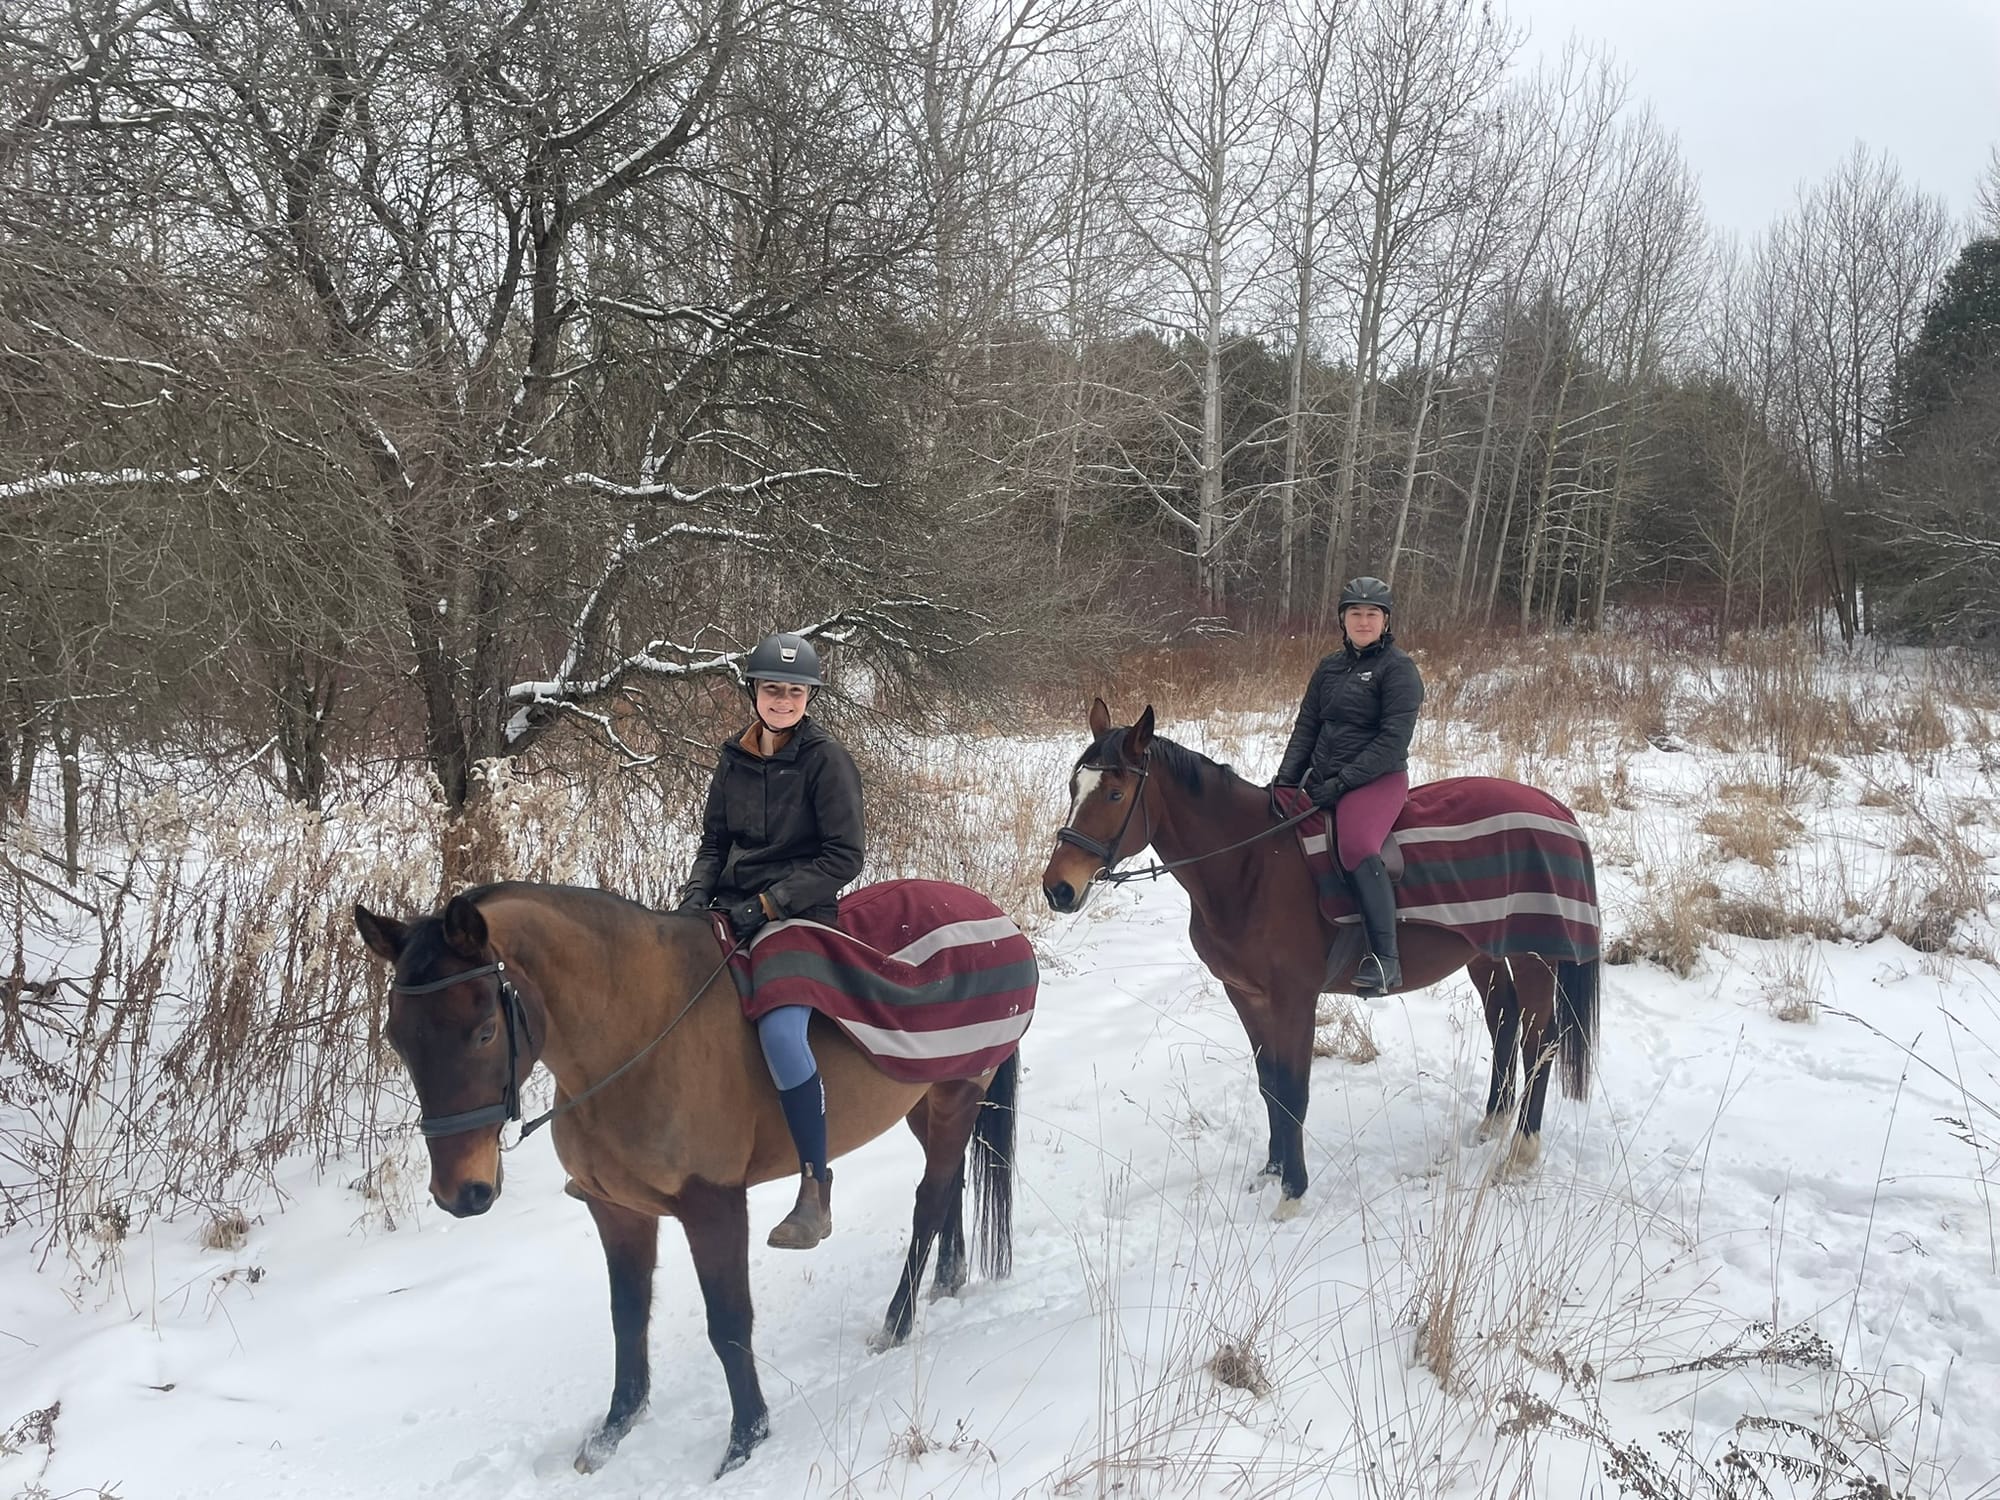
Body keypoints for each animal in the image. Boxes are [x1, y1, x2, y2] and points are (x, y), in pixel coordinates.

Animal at [352, 882, 1020, 1478]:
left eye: (485, 1032)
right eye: (397, 1038)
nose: (459, 1194)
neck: (636, 1034)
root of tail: (993, 915)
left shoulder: (713, 1207)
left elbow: (727, 1324)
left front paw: (745, 1440)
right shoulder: (616, 1210)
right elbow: (627, 1317)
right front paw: (613, 1432)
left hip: (959, 1092)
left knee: (929, 1203)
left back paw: (896, 1324)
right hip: (926, 1101)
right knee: (948, 1184)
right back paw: (948, 1280)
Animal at [1041, 699, 1598, 1213]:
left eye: (1115, 793)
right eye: (1074, 788)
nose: (1058, 889)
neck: (1250, 864)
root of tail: (1556, 811)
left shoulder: (1295, 999)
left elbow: (1293, 1091)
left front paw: (1292, 1192)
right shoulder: (1245, 995)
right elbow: (1270, 1085)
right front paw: (1271, 1171)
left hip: (1533, 953)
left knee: (1540, 1040)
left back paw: (1520, 1153)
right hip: (1484, 952)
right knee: (1504, 1020)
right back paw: (1493, 1123)